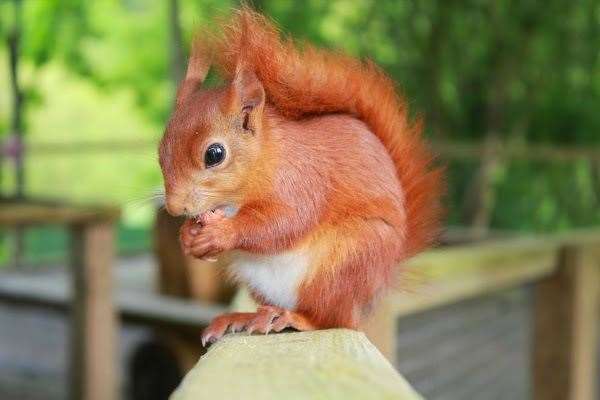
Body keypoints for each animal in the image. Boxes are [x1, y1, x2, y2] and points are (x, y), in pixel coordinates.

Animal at [158, 7, 440, 346]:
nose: (175, 208)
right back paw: (245, 316)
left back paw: (293, 317)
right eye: (159, 151)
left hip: (344, 263)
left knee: (333, 319)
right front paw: (188, 237)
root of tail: (377, 285)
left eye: (214, 154)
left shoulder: (301, 179)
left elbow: (286, 220)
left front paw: (221, 233)